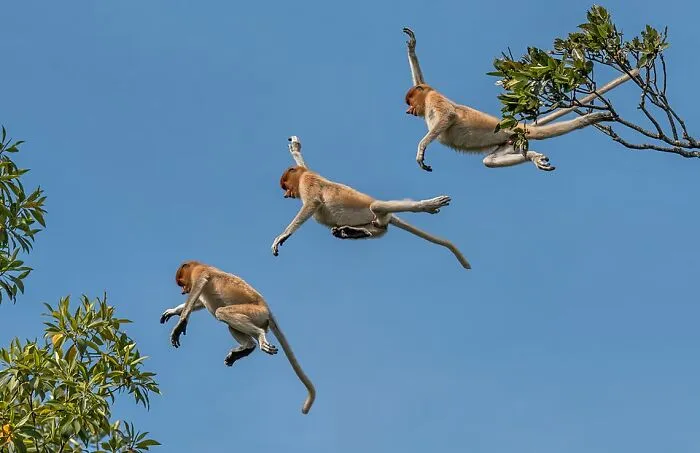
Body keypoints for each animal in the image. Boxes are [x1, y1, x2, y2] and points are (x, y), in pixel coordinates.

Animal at [160, 260, 316, 414]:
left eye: (181, 282)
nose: (183, 290)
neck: (199, 265)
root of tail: (267, 310)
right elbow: (199, 302)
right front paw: (172, 311)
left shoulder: (200, 273)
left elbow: (197, 290)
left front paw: (180, 325)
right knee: (230, 325)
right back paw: (247, 348)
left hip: (255, 313)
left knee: (221, 312)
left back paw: (259, 336)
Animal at [272, 138, 471, 269]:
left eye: (285, 185)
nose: (287, 194)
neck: (301, 177)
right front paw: (295, 148)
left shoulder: (308, 182)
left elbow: (311, 204)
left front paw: (282, 237)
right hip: (376, 222)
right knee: (380, 229)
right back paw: (351, 232)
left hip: (376, 211)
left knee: (377, 208)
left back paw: (427, 206)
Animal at [402, 27, 636, 173]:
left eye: (410, 102)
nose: (408, 111)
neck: (427, 99)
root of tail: (512, 126)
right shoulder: (430, 91)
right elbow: (421, 78)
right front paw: (411, 46)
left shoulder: (434, 97)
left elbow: (447, 116)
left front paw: (421, 151)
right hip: (509, 141)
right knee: (490, 161)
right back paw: (533, 156)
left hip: (509, 135)